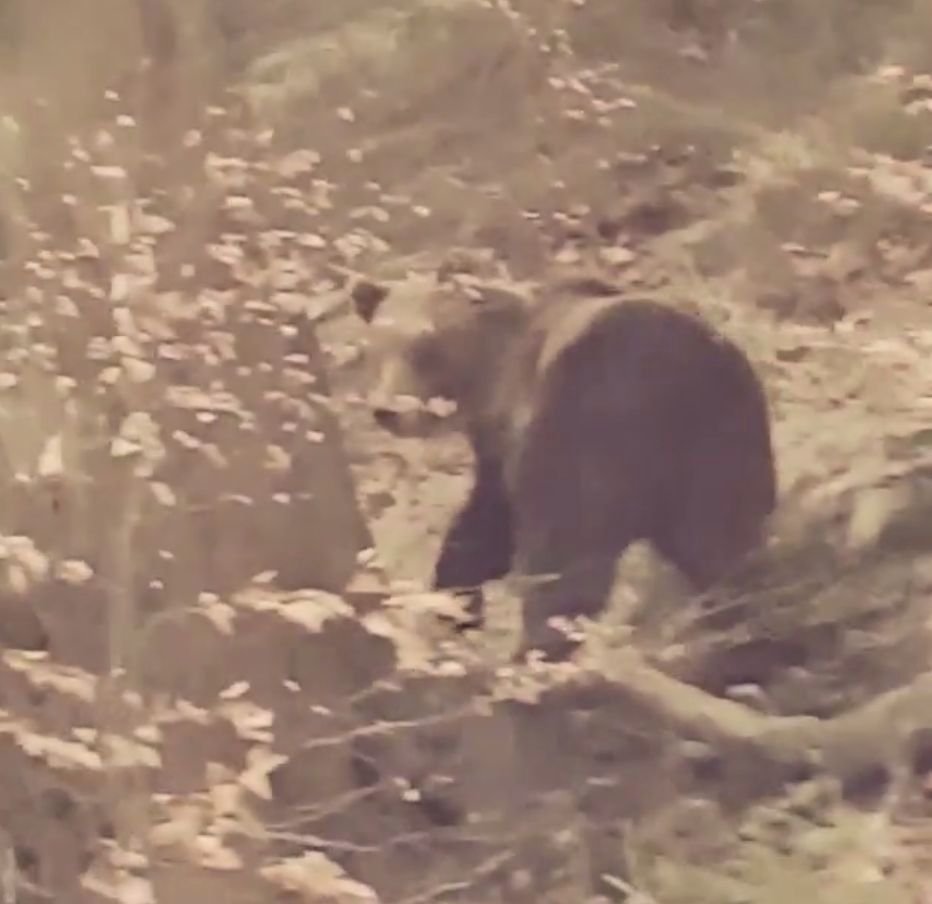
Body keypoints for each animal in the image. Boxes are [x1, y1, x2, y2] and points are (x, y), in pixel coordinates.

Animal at [354, 272, 776, 660]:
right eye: (376, 347)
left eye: (425, 347)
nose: (387, 410)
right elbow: (484, 528)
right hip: (723, 443)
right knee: (728, 550)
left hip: (598, 418)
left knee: (568, 558)